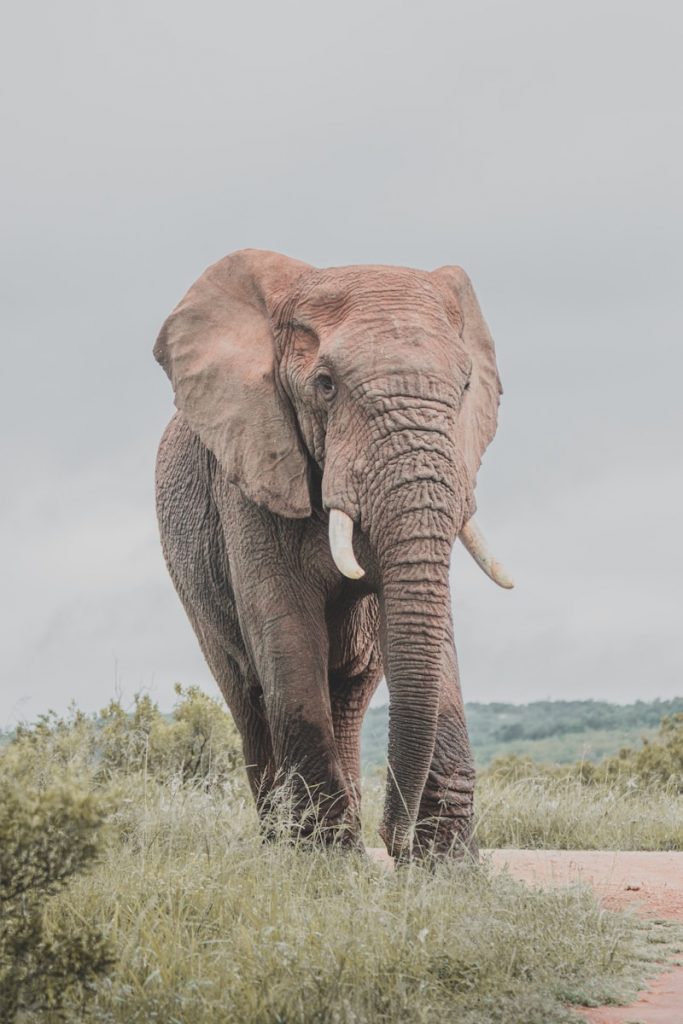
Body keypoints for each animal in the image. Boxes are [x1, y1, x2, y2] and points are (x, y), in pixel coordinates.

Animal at [153, 249, 512, 862]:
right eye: (325, 385)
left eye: (466, 385)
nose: (393, 840)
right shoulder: (251, 473)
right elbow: (288, 634)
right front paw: (326, 867)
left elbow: (432, 634)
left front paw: (448, 869)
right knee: (248, 698)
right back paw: (282, 847)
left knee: (347, 696)